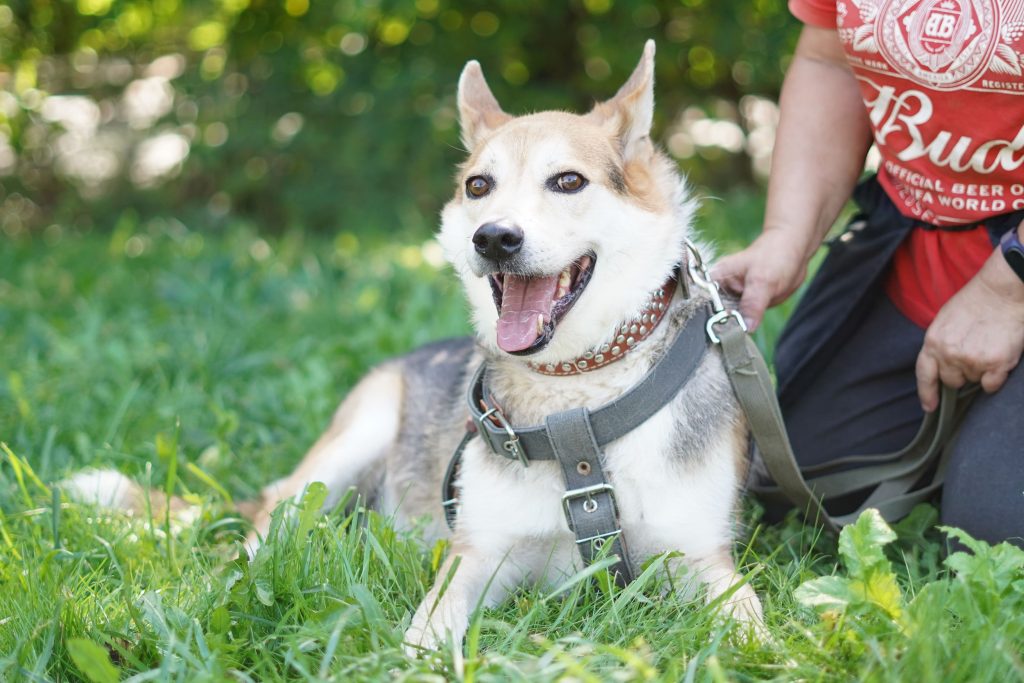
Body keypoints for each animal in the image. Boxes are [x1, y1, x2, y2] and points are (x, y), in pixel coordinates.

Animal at [68, 41, 761, 651]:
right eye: (479, 187)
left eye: (568, 181)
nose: (494, 238)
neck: (575, 406)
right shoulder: (477, 555)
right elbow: (427, 629)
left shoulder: (703, 561)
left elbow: (754, 628)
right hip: (345, 449)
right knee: (258, 540)